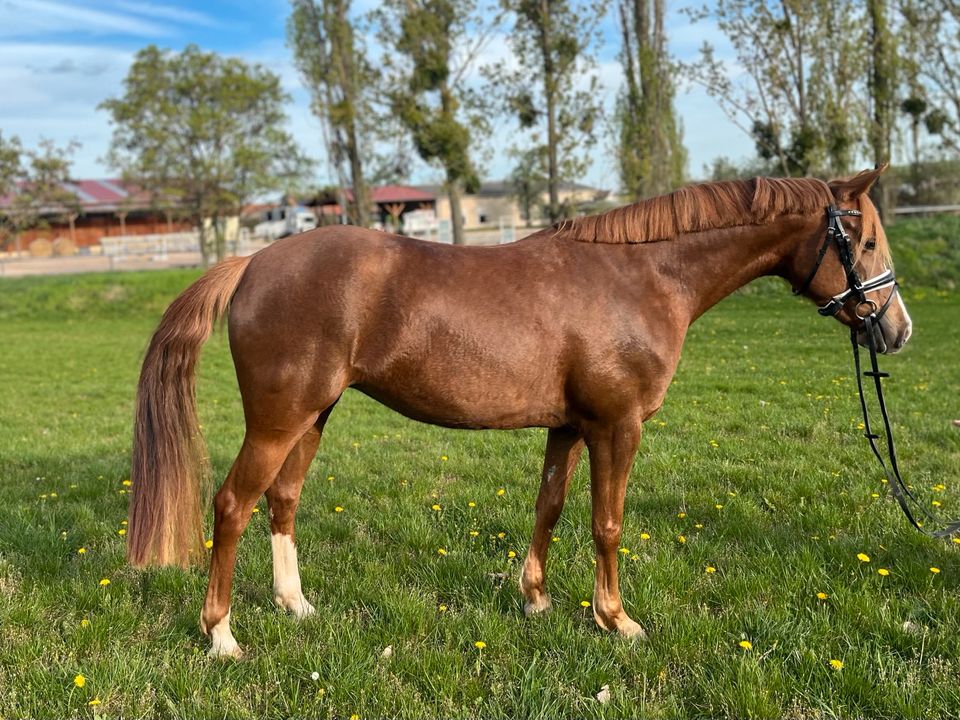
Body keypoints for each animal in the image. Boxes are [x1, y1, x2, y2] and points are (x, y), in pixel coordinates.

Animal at [125, 169, 908, 660]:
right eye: (866, 242)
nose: (896, 331)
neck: (643, 276)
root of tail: (254, 262)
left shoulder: (569, 426)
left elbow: (549, 507)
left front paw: (535, 601)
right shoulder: (617, 426)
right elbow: (606, 524)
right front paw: (616, 620)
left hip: (313, 416)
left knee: (282, 499)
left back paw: (296, 607)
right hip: (279, 420)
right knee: (233, 504)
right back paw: (222, 636)